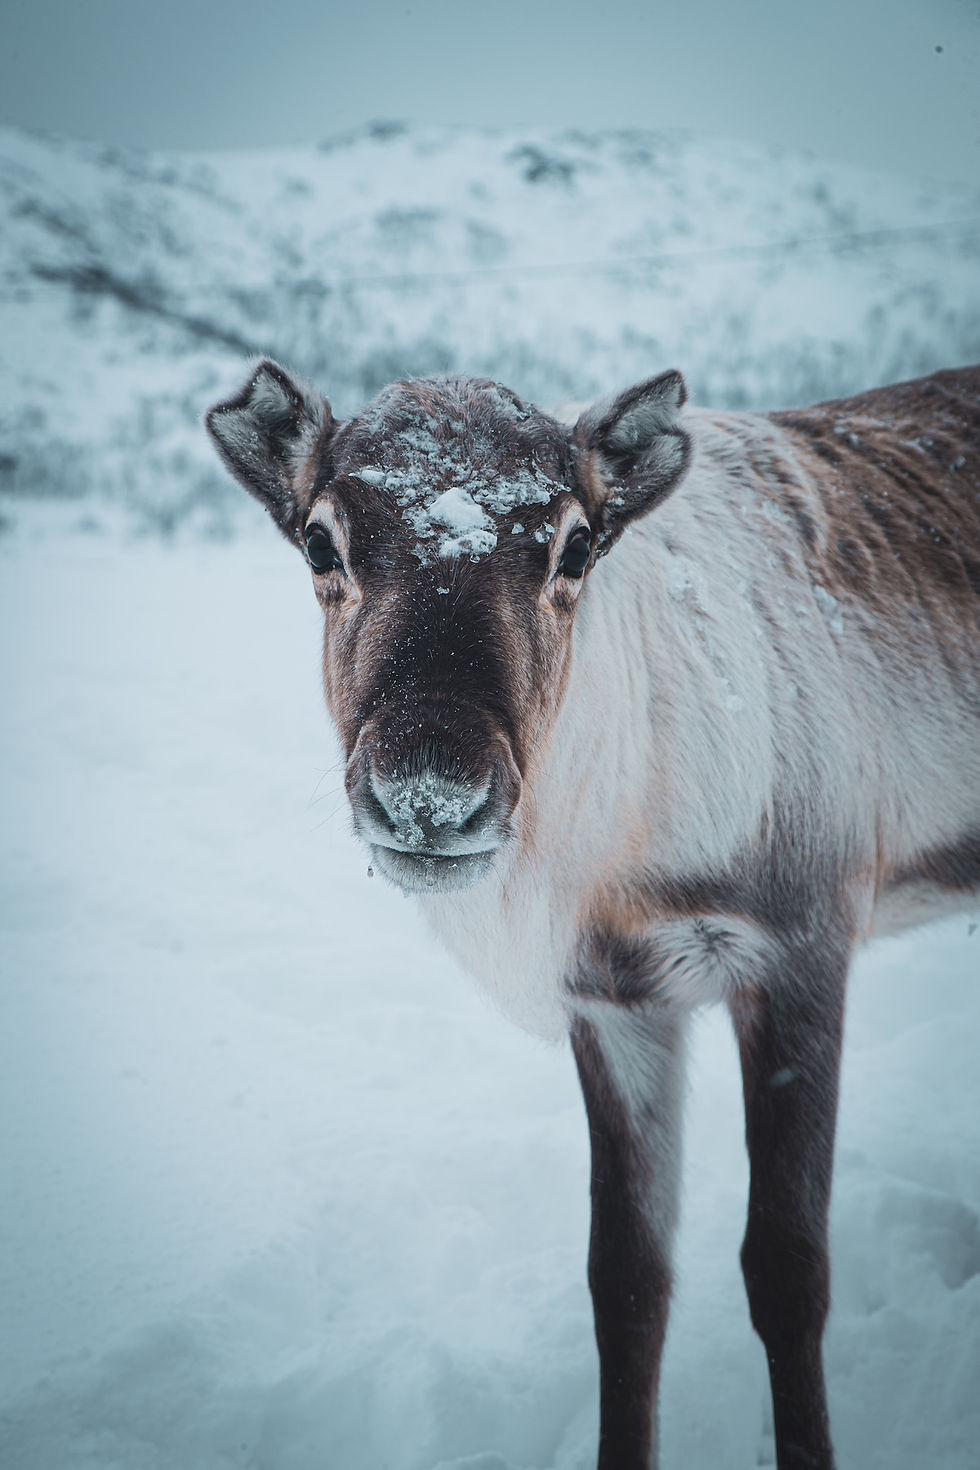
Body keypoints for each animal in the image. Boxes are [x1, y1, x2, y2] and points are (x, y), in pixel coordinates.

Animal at [206, 358, 979, 1470]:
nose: (429, 795)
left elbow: (788, 1273)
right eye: (321, 540)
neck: (620, 839)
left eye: (574, 544)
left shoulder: (797, 948)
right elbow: (626, 1283)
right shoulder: (615, 1001)